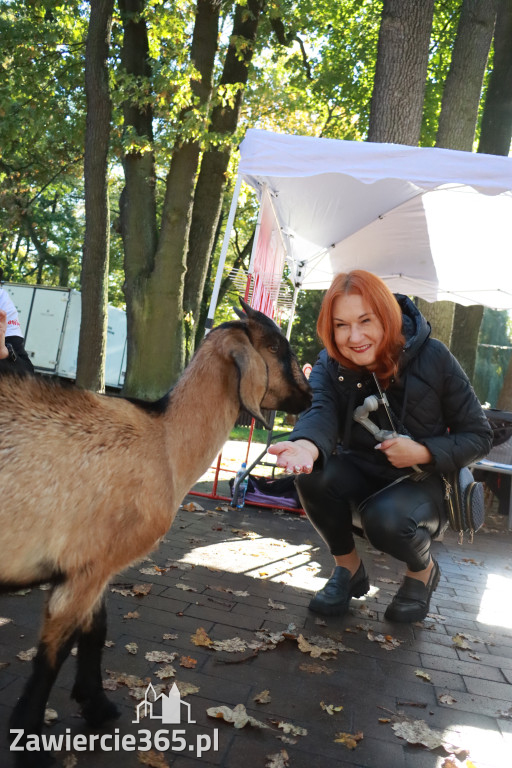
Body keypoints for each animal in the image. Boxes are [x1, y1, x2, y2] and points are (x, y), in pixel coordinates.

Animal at [0, 300, 312, 760]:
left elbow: (96, 630)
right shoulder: (87, 568)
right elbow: (51, 655)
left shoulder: (96, 566)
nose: (309, 396)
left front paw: (98, 705)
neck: (163, 442)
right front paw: (30, 736)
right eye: (276, 346)